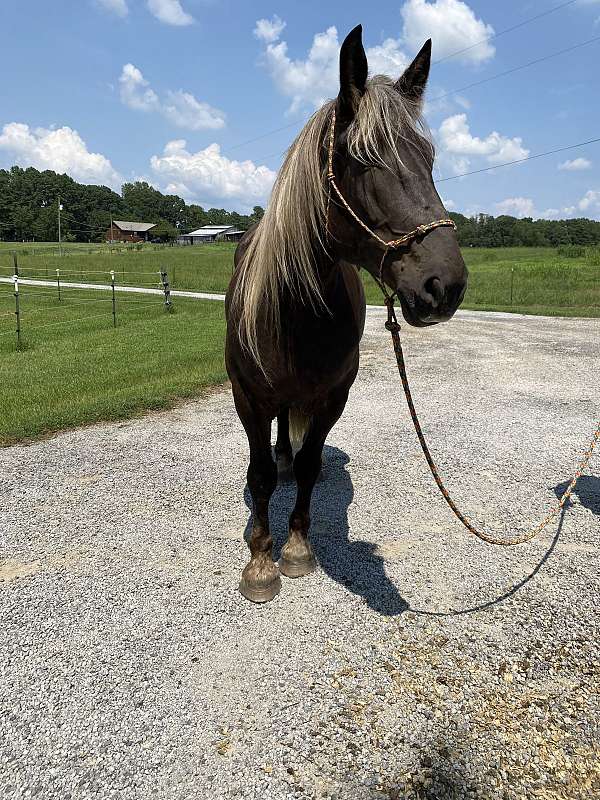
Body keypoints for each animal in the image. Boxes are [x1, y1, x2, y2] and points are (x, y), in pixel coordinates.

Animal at [225, 21, 468, 604]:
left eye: (429, 159)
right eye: (361, 158)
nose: (445, 286)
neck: (294, 314)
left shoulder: (333, 396)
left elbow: (310, 465)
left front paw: (295, 549)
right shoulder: (248, 397)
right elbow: (261, 474)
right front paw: (260, 562)